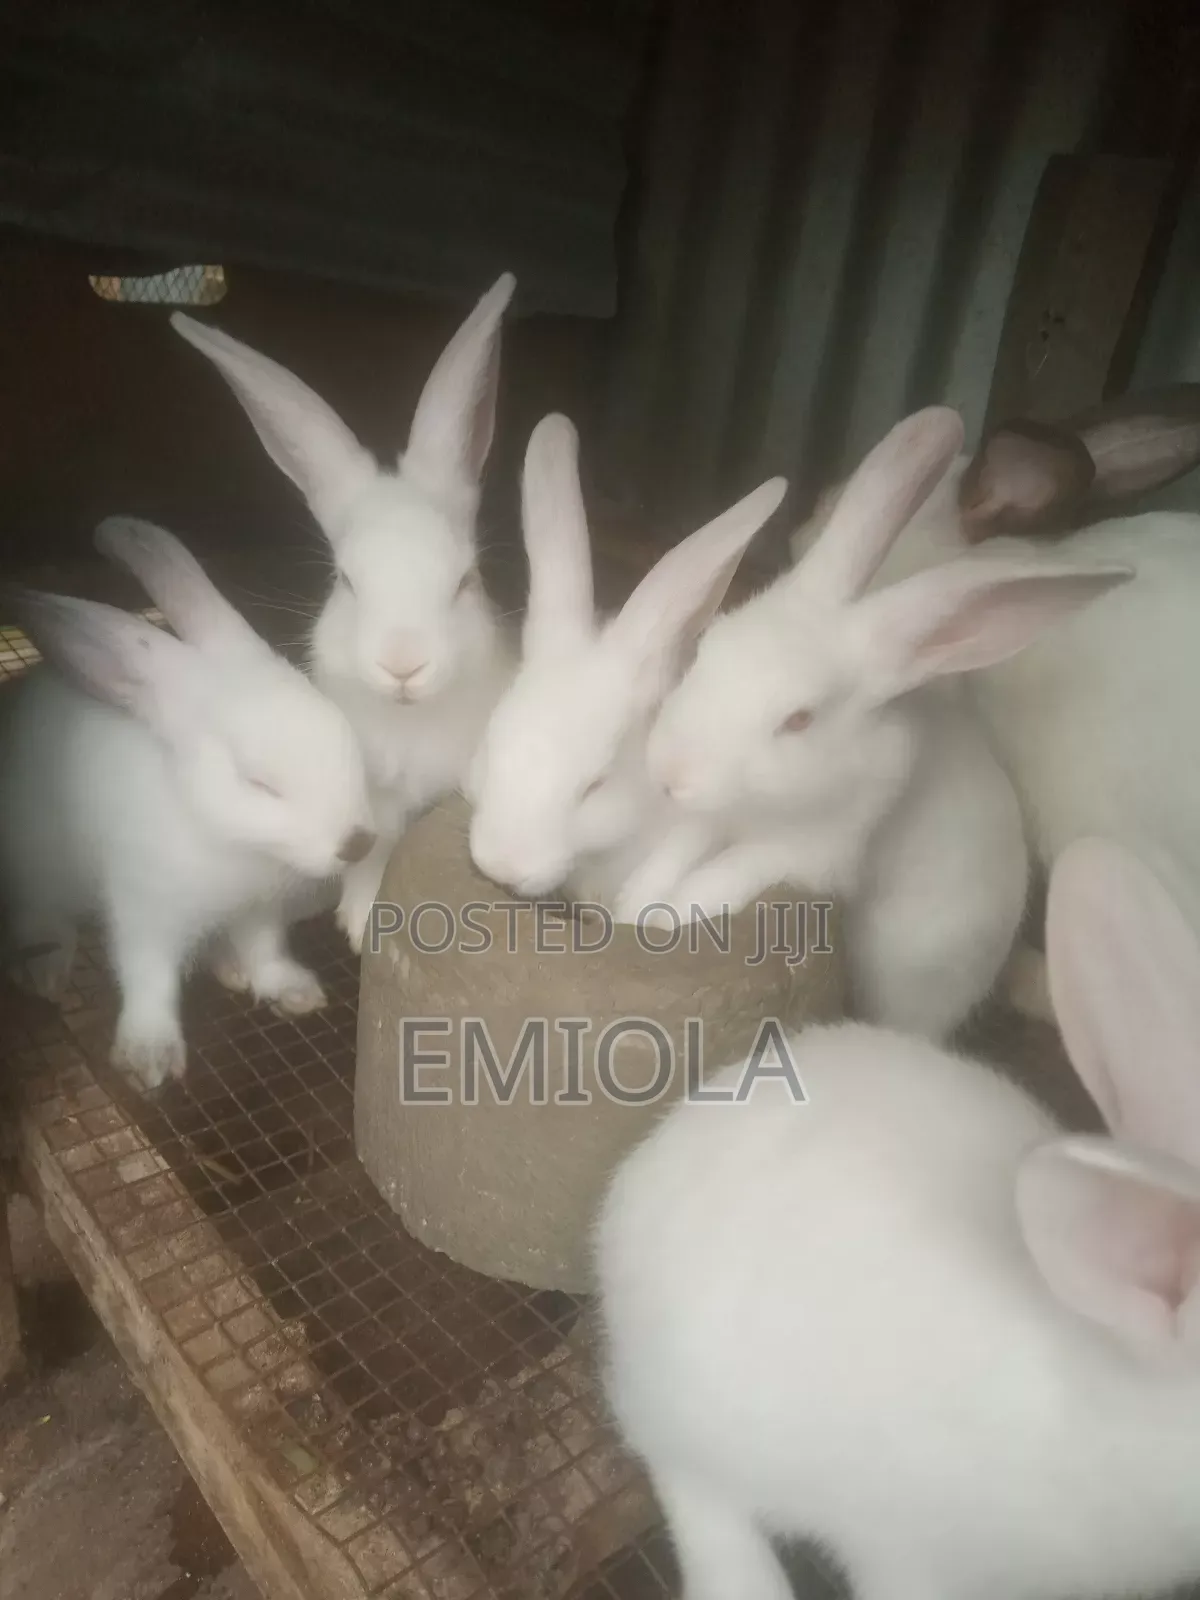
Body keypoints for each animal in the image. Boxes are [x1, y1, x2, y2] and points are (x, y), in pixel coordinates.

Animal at [0, 517, 376, 1090]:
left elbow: (266, 950)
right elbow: (149, 975)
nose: (357, 843)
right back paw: (45, 970)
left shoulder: (260, 912)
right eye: (259, 783)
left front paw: (294, 992)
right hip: (36, 859)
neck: (233, 844)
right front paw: (150, 1057)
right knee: (40, 915)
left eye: (349, 740)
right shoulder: (146, 907)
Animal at [171, 275, 518, 951]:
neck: (408, 723)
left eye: (466, 580)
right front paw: (359, 921)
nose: (403, 664)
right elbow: (371, 850)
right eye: (346, 581)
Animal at [639, 407, 1131, 1039]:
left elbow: (724, 878)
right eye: (707, 647)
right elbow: (673, 857)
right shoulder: (709, 822)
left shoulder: (812, 853)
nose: (668, 772)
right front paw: (636, 903)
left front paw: (667, 917)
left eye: (799, 719)